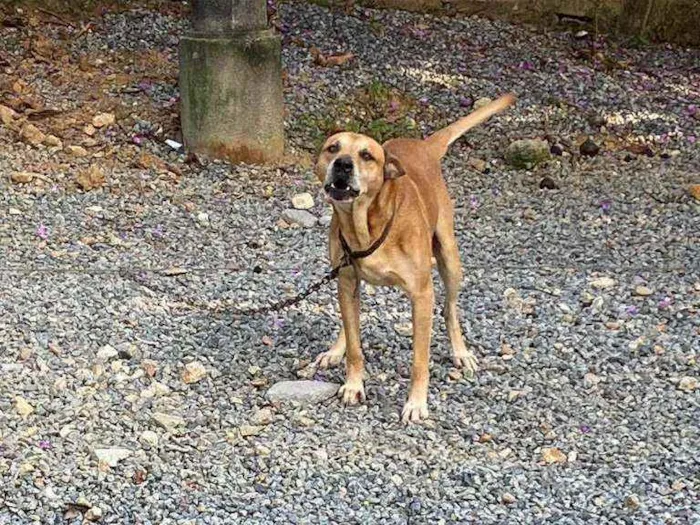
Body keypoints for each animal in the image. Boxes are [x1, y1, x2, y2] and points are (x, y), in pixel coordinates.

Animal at [314, 94, 516, 422]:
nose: (342, 164)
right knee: (350, 319)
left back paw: (461, 352)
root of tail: (423, 145)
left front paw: (416, 403)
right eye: (333, 147)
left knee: (449, 310)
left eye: (366, 155)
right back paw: (336, 348)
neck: (368, 224)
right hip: (347, 285)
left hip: (450, 259)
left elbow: (420, 360)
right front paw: (353, 383)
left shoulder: (422, 296)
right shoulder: (345, 279)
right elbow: (355, 345)